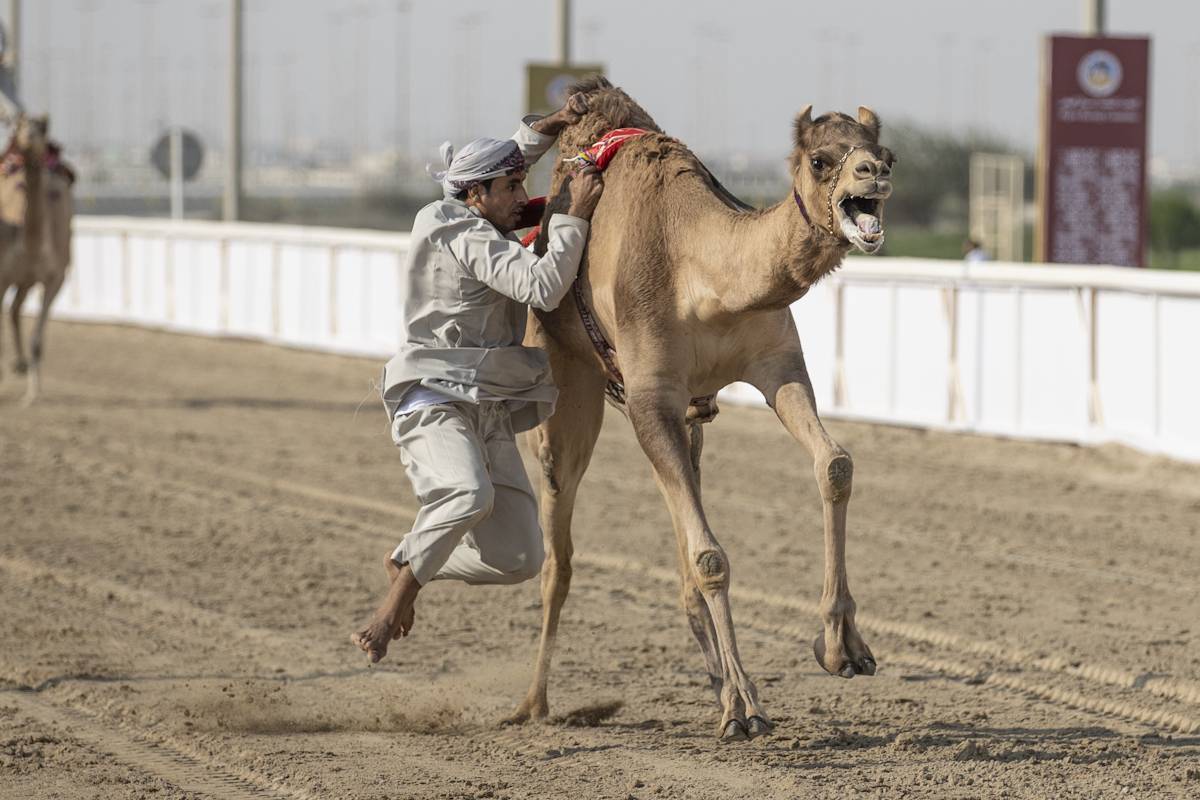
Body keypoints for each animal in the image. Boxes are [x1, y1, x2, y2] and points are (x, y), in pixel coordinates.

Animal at [0, 115, 75, 402]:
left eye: (41, 127)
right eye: (19, 125)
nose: (28, 139)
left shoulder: (55, 278)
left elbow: (37, 340)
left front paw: (33, 395)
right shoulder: (4, 275)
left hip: (27, 282)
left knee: (14, 309)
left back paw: (20, 365)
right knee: (13, 309)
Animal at [506, 77, 892, 743]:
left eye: (884, 152)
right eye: (822, 159)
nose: (874, 175)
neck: (701, 274)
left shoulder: (778, 367)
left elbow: (835, 464)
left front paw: (842, 647)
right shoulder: (647, 396)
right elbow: (711, 556)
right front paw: (745, 709)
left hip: (688, 416)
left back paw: (714, 682)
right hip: (565, 370)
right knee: (560, 541)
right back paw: (535, 703)